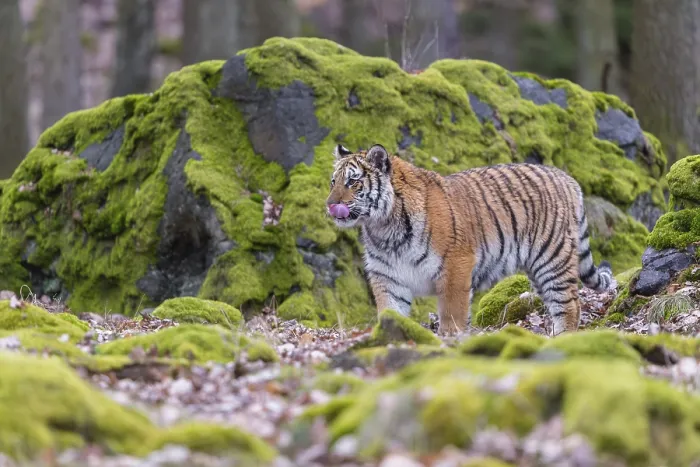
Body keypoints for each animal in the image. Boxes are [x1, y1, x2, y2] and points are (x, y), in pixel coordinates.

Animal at [325, 143, 615, 336]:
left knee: (570, 305)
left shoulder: (455, 265)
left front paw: (450, 339)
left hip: (552, 258)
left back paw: (563, 338)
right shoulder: (387, 276)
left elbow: (452, 312)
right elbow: (390, 311)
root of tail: (567, 178)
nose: (329, 204)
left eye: (353, 182)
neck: (383, 228)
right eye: (333, 182)